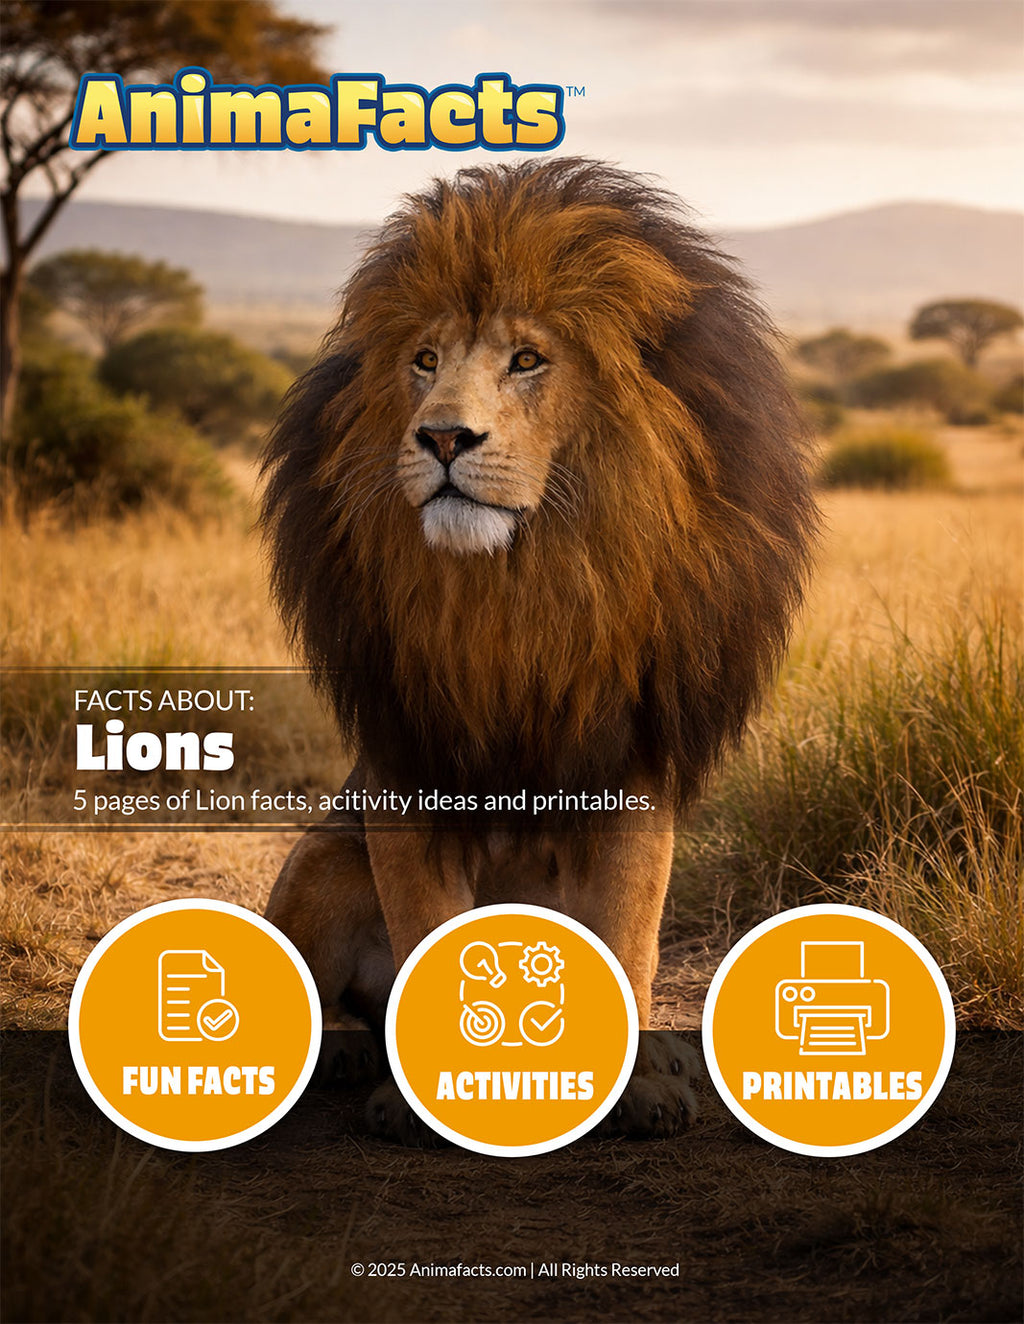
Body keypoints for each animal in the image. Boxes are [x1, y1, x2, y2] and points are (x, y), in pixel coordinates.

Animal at [260, 158, 817, 1140]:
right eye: (425, 361)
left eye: (527, 360)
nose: (443, 436)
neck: (519, 588)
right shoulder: (408, 773)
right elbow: (427, 925)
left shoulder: (629, 771)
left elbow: (629, 942)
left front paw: (642, 1088)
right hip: (322, 860)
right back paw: (348, 1051)